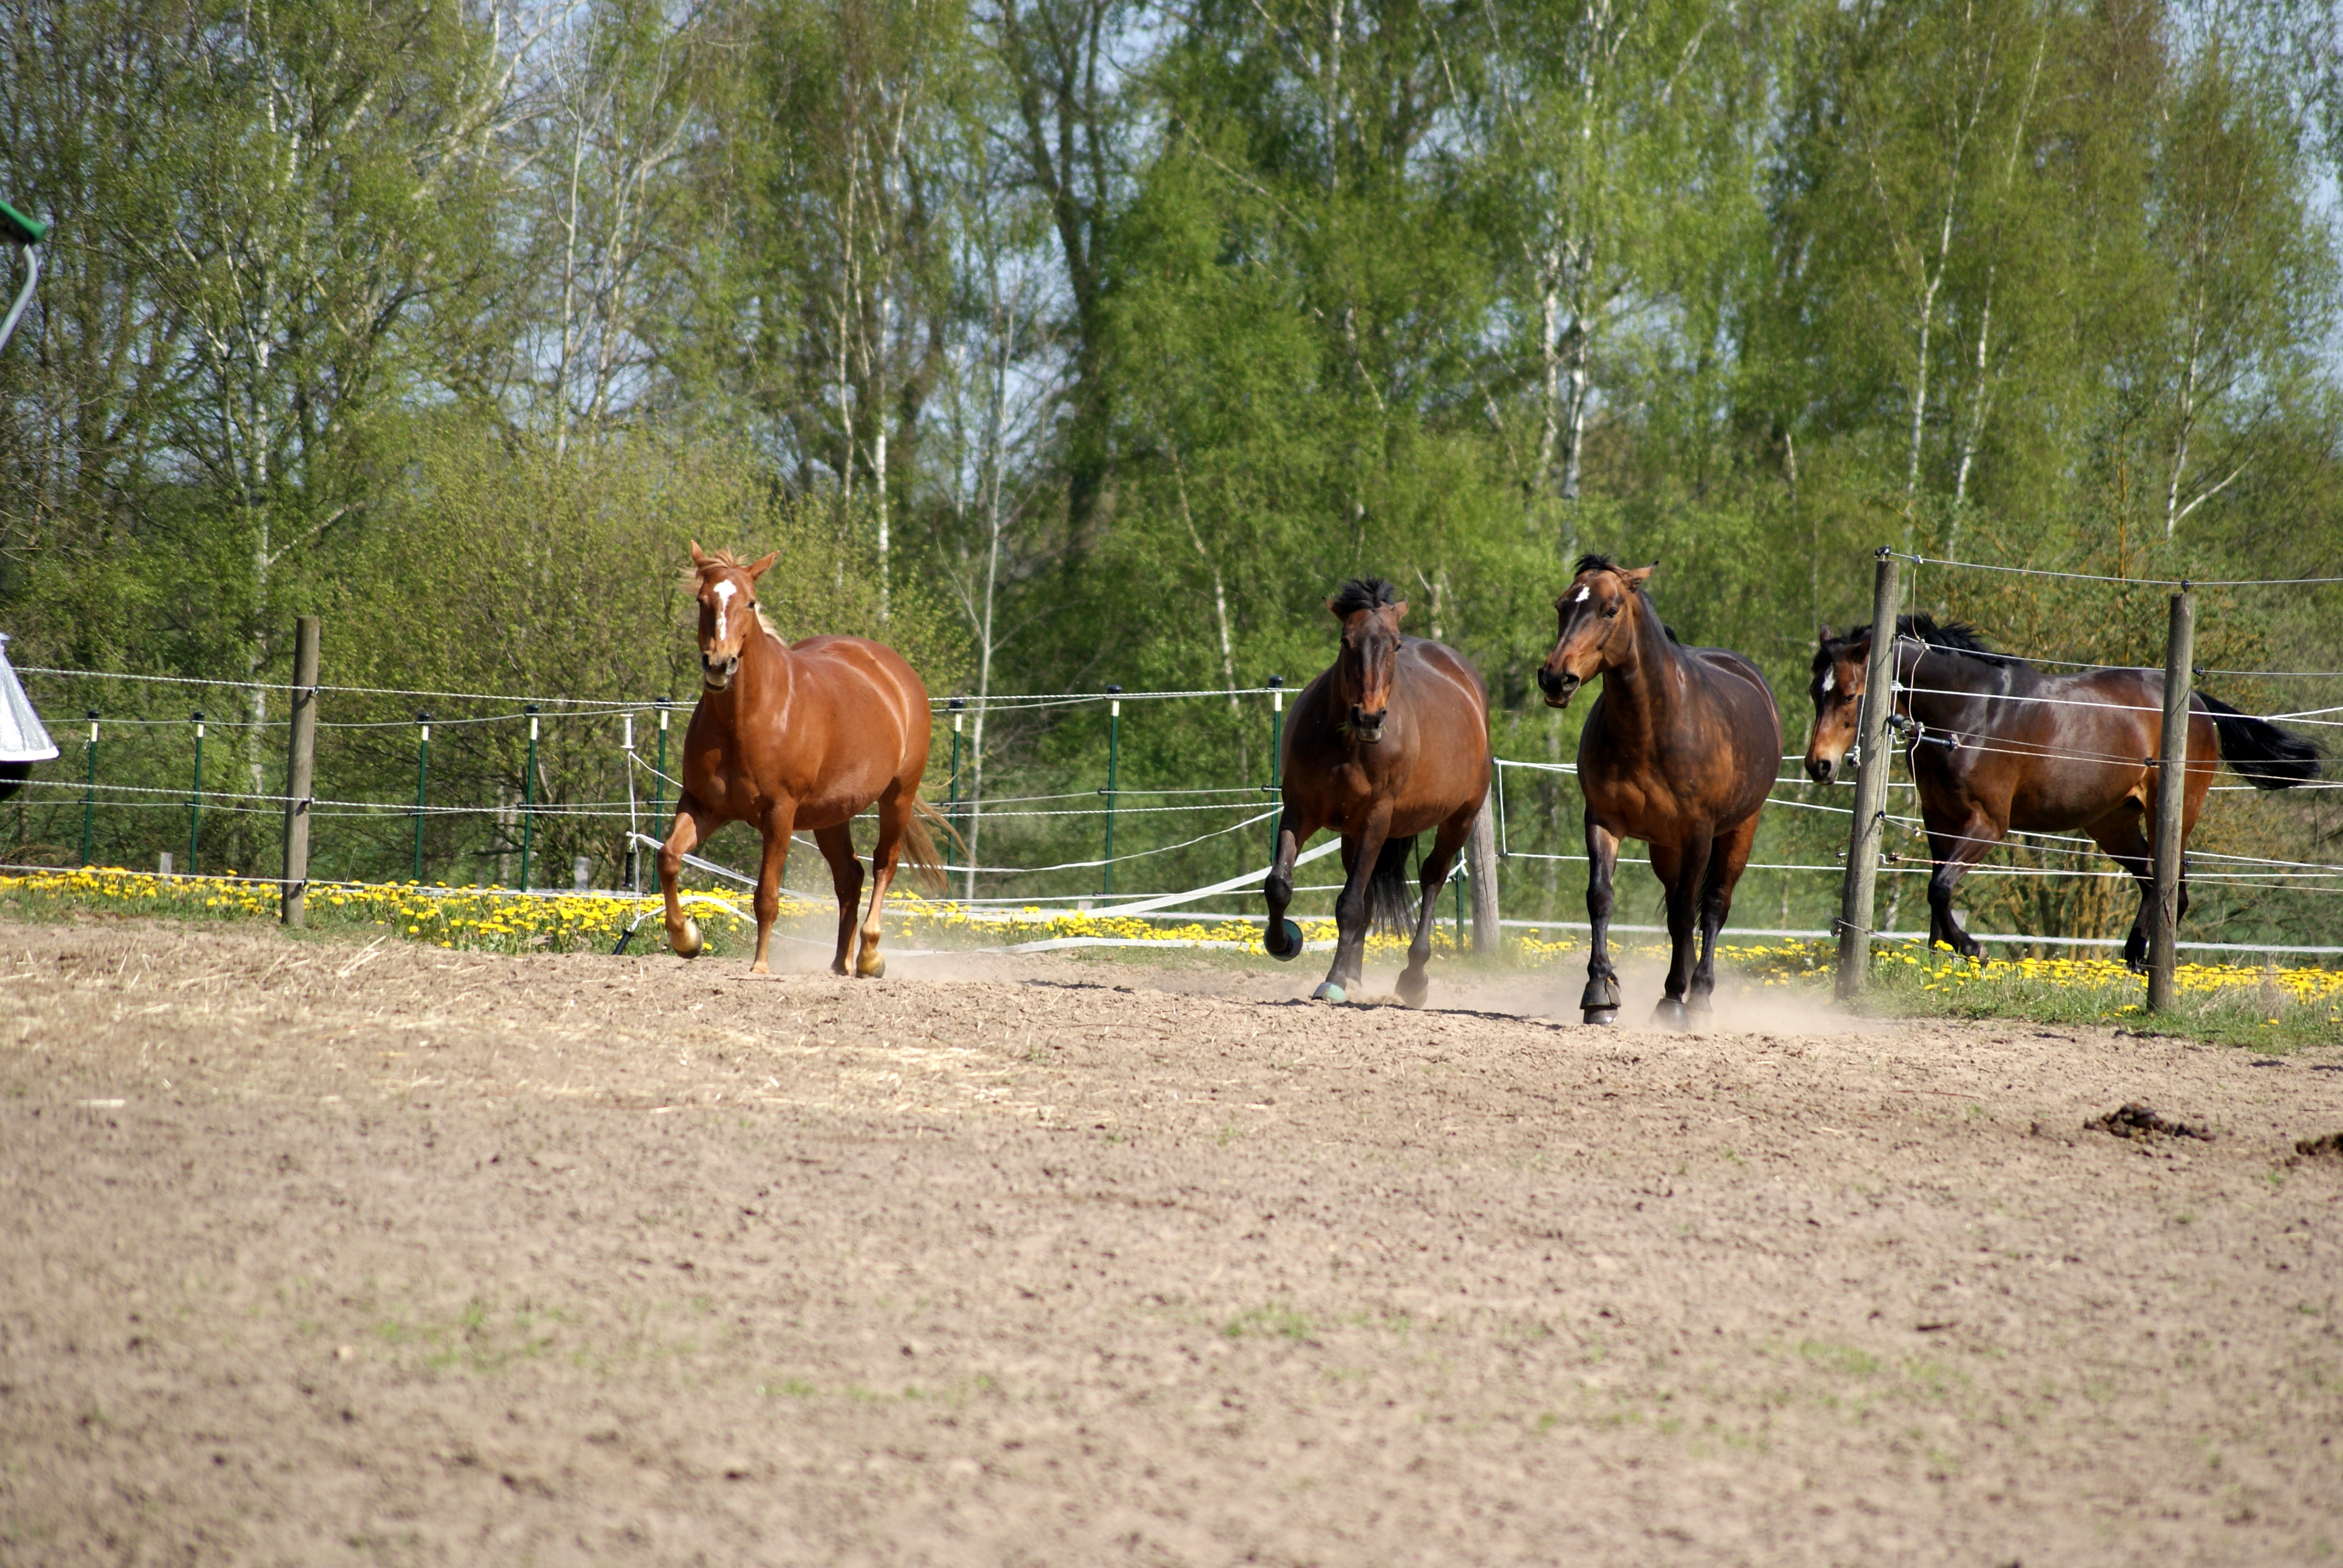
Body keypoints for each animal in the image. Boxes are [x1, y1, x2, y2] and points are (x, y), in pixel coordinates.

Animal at [657, 543, 951, 977]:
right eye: (702, 600)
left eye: (751, 602)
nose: (719, 664)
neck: (745, 719)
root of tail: (895, 671)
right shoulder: (703, 805)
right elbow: (669, 857)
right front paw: (687, 938)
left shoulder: (780, 814)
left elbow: (767, 895)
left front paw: (761, 965)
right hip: (831, 815)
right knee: (850, 876)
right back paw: (840, 964)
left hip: (897, 795)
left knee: (884, 864)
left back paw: (869, 956)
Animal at [1262, 578, 1493, 1009]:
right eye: (1345, 640)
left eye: (1395, 645)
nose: (1369, 718)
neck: (1347, 744)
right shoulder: (1299, 812)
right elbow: (1279, 884)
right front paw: (1283, 941)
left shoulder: (1376, 819)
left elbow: (1350, 905)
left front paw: (1333, 981)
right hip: (1353, 835)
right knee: (1368, 895)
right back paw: (1356, 975)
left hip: (1459, 821)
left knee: (1432, 879)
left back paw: (1413, 978)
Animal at [1535, 556, 1781, 1028]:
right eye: (1561, 605)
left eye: (1610, 610)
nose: (1556, 679)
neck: (1651, 730)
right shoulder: (1603, 820)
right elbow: (1601, 897)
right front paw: (1600, 992)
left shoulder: (1698, 832)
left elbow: (1690, 911)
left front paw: (1673, 1002)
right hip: (1665, 848)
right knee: (1676, 910)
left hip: (1739, 830)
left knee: (1713, 906)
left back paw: (1698, 996)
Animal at [1804, 614, 2322, 969]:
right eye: (1815, 691)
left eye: (1850, 694)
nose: (1819, 765)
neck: (1970, 712)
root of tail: (2197, 704)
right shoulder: (1939, 820)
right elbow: (1937, 890)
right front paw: (1940, 955)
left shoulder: (1989, 825)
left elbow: (1941, 886)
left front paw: (1973, 948)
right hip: (2112, 823)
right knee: (2151, 878)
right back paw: (2134, 954)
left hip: (2170, 810)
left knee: (2172, 880)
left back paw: (2148, 957)